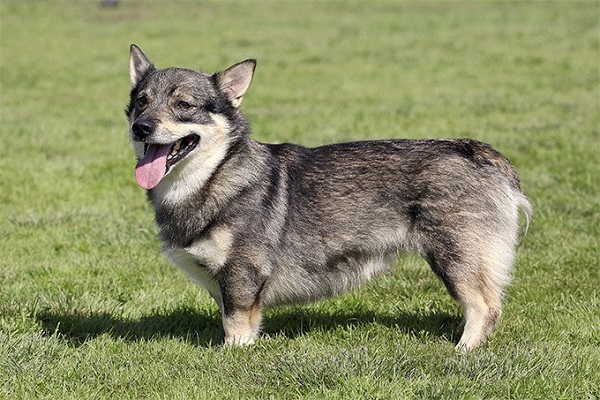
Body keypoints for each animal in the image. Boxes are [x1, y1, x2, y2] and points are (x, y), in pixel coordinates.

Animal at [125, 44, 528, 350]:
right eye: (141, 101)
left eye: (183, 105)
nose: (140, 127)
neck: (214, 175)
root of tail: (480, 152)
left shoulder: (242, 276)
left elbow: (236, 326)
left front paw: (232, 357)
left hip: (456, 257)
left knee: (485, 306)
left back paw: (463, 351)